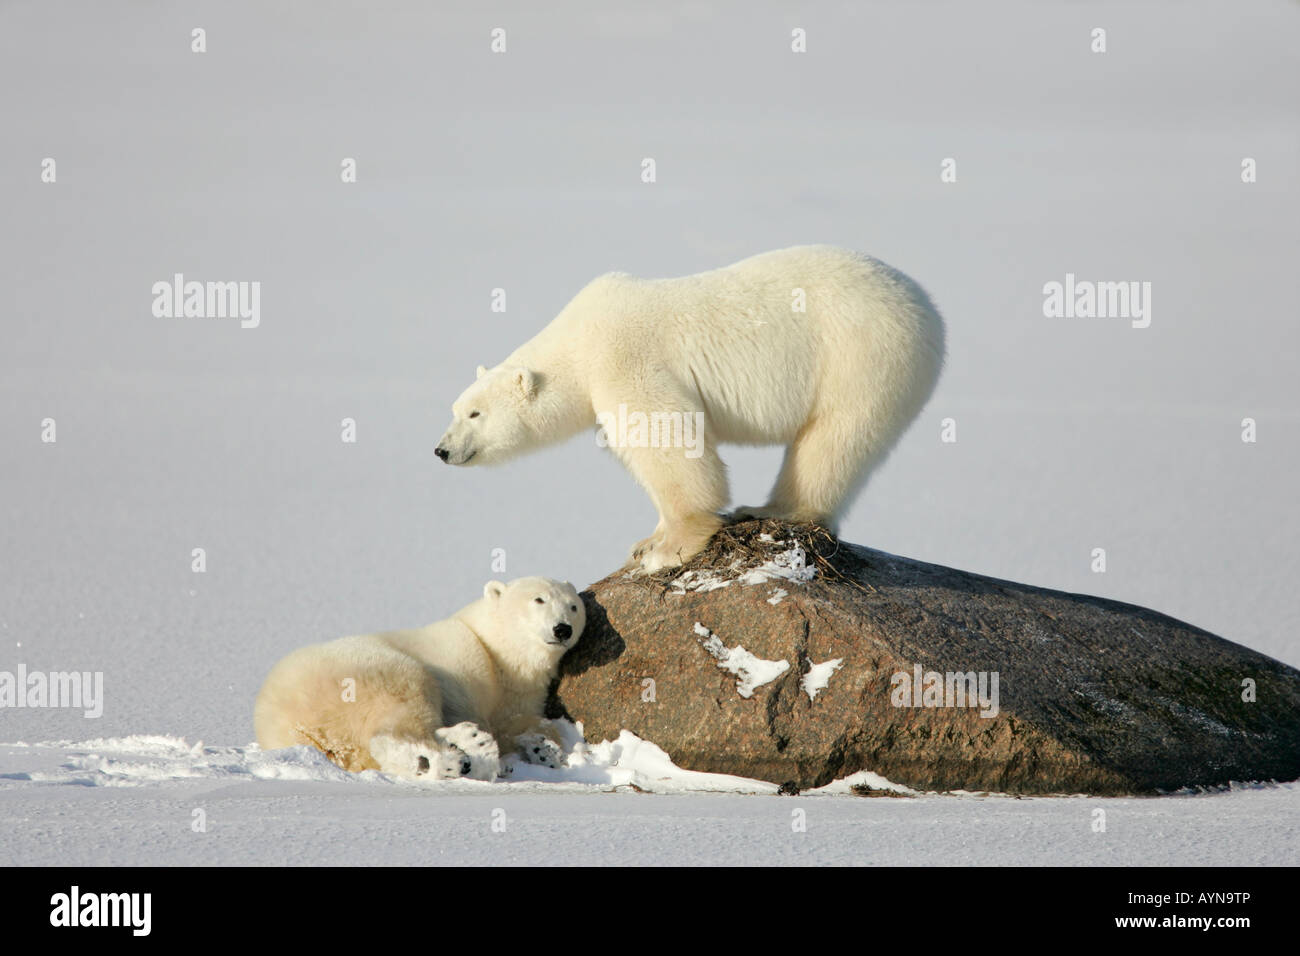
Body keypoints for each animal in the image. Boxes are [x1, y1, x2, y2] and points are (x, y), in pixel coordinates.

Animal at [252, 574, 585, 780]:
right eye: (539, 600)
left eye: (573, 606)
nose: (562, 629)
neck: (494, 650)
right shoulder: (462, 663)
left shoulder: (517, 693)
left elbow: (514, 721)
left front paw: (543, 749)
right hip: (368, 672)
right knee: (401, 715)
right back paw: (459, 752)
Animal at [436, 248, 946, 574]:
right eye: (455, 409)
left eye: (475, 415)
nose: (441, 450)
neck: (577, 341)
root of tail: (929, 311)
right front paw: (646, 540)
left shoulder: (624, 356)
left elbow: (662, 436)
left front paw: (666, 549)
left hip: (859, 357)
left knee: (833, 437)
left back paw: (775, 507)